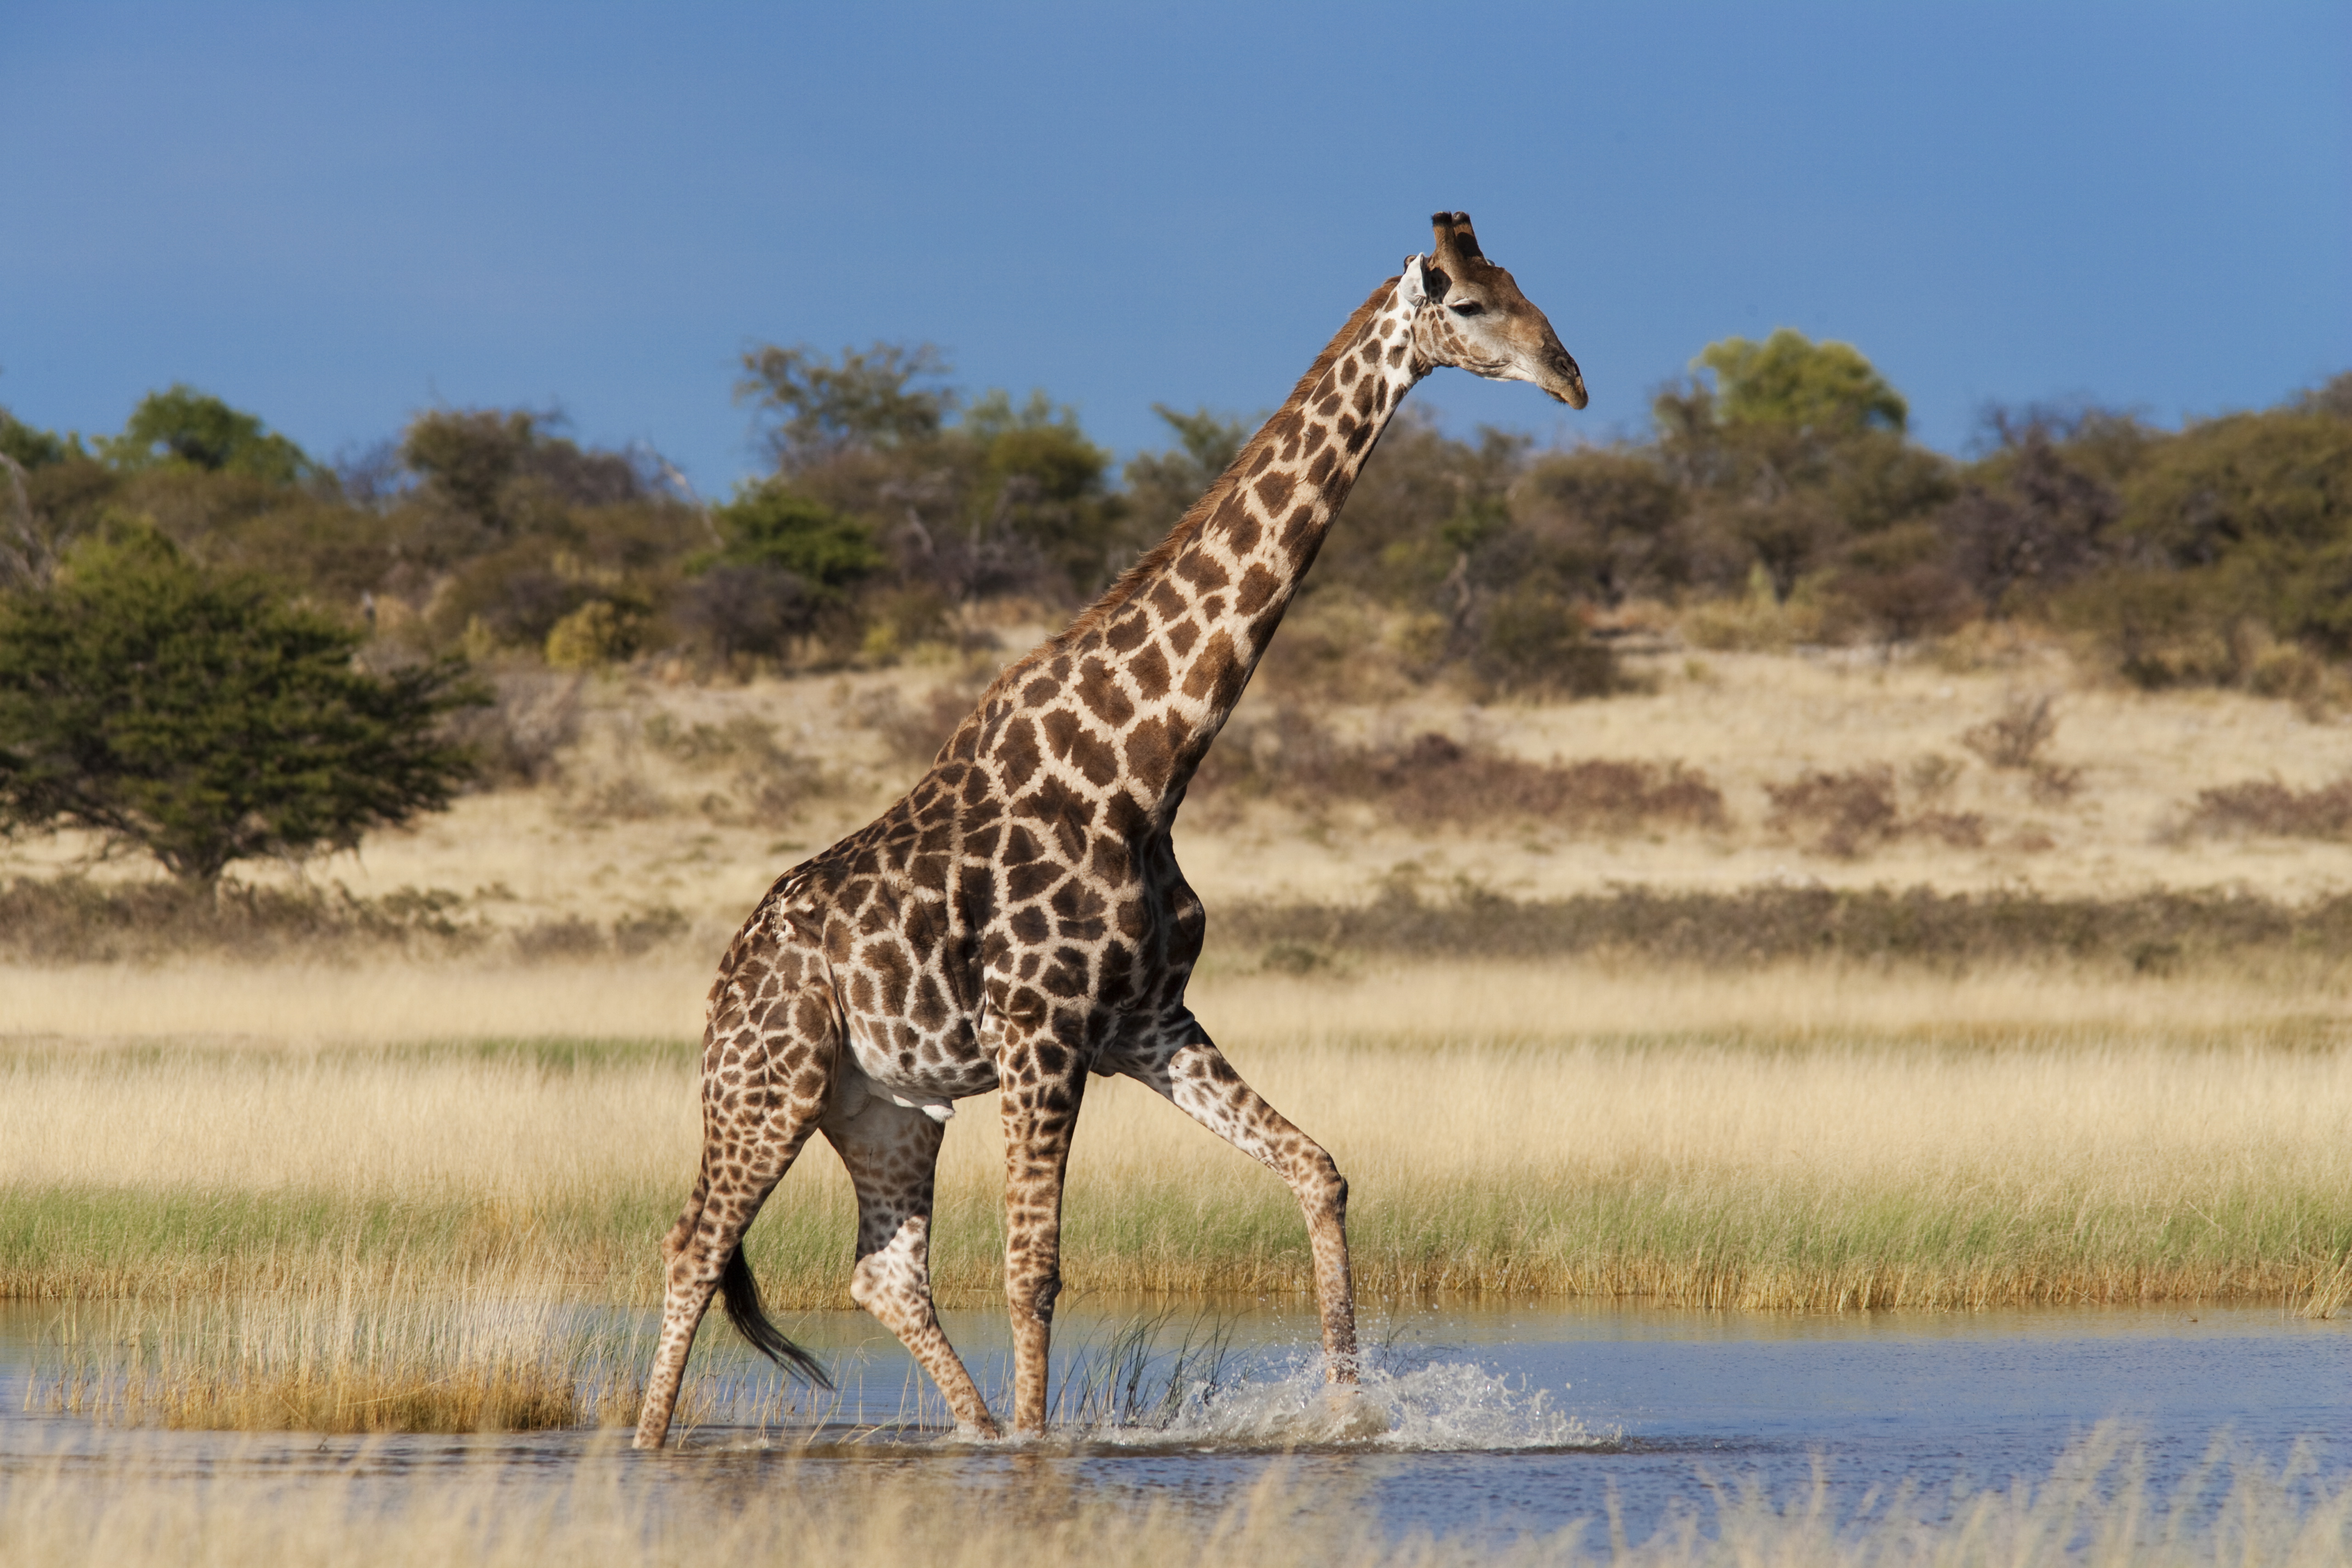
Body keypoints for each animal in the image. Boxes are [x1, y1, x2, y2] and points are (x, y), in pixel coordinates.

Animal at [634, 212, 1585, 1446]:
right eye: (1467, 304)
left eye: (1520, 285)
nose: (1568, 378)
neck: (1150, 765)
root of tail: (720, 982)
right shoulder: (1042, 1028)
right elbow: (1032, 1271)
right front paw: (1042, 1449)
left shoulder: (1143, 1019)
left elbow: (1316, 1169)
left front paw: (1350, 1411)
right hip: (770, 1081)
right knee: (695, 1244)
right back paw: (645, 1444)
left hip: (886, 1105)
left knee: (884, 1272)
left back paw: (974, 1428)